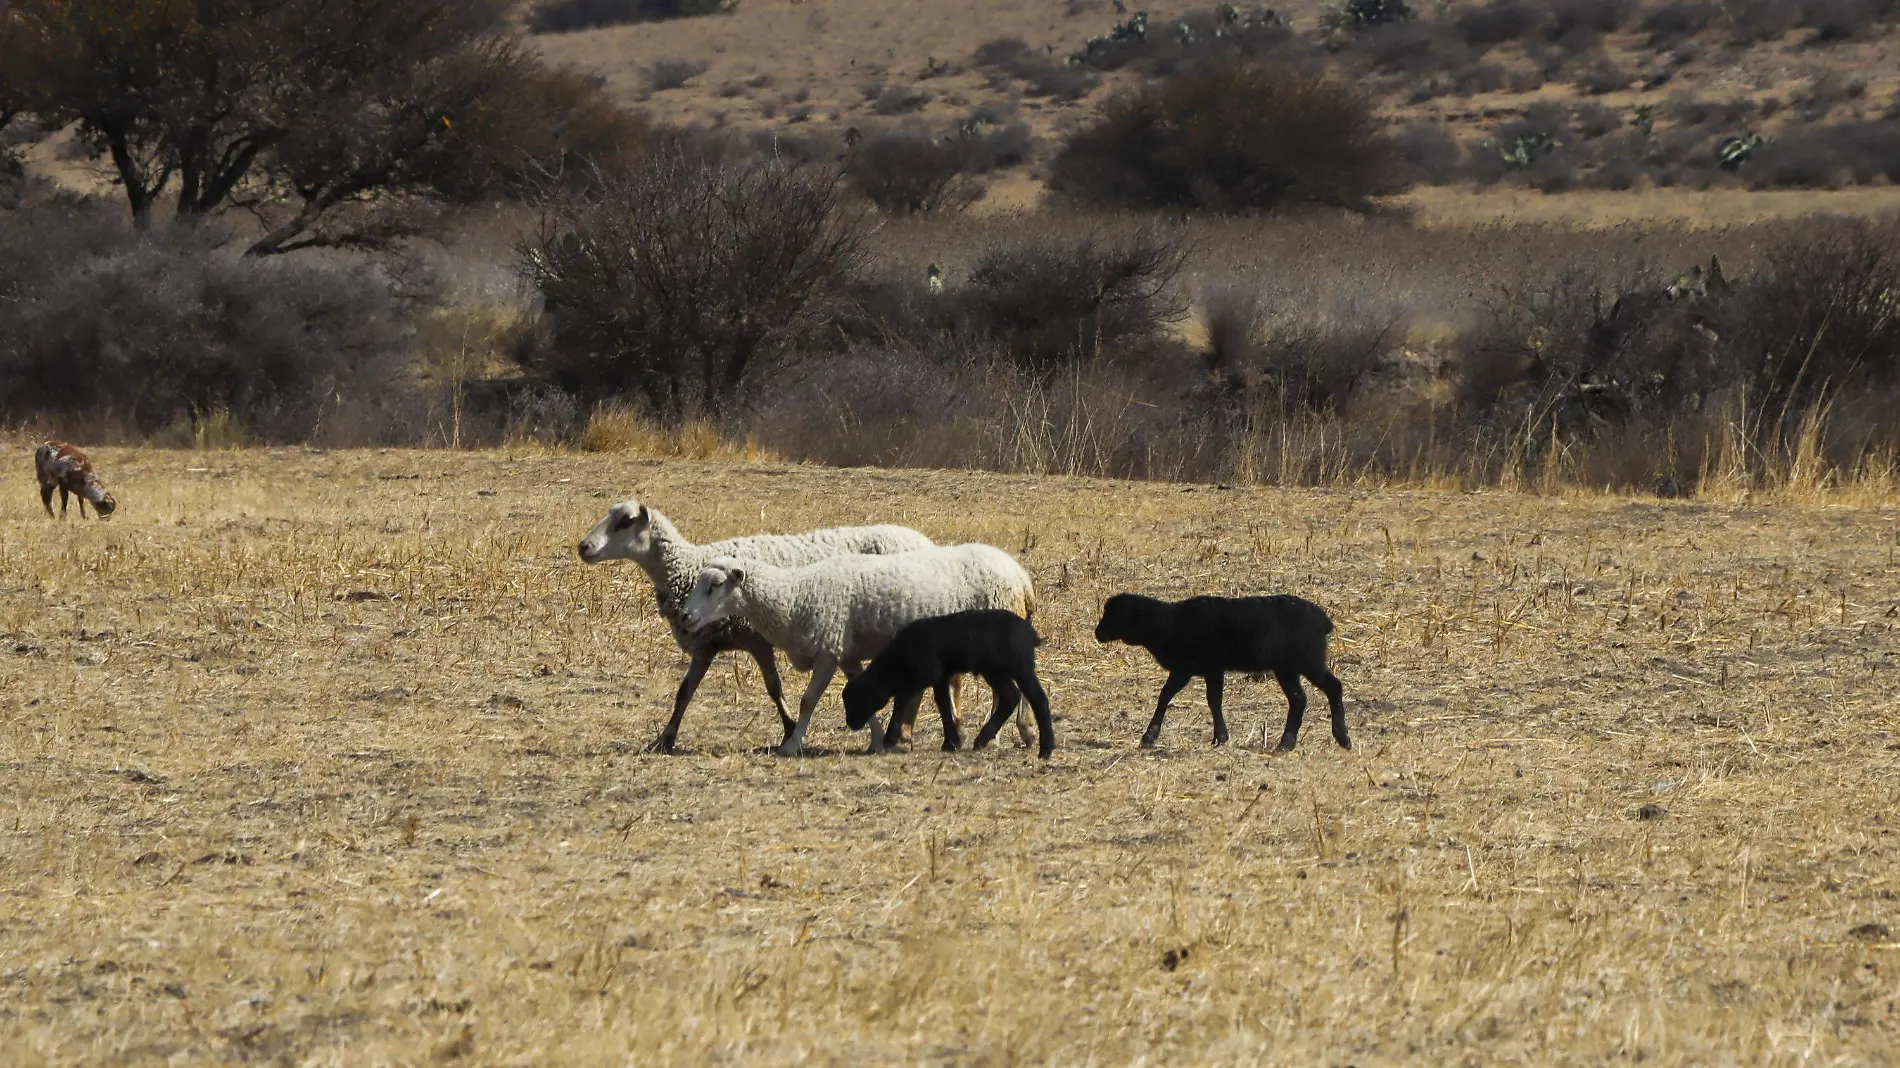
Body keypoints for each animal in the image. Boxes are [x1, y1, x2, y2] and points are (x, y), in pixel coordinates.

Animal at [577, 497, 934, 748]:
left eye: (624, 522)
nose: (583, 547)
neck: (687, 566)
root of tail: (925, 541)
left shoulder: (756, 639)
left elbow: (774, 688)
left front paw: (790, 729)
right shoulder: (706, 644)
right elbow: (684, 692)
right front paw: (665, 738)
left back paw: (899, 732)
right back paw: (901, 732)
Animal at [843, 608, 1056, 756]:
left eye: (857, 700)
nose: (851, 724)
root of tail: (1031, 633)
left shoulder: (925, 674)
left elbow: (902, 701)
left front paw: (889, 739)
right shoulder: (941, 676)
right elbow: (943, 704)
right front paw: (950, 742)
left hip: (1017, 667)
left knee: (1036, 698)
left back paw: (1046, 748)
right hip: (997, 671)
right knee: (1011, 696)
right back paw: (983, 739)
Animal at [1094, 589, 1345, 748]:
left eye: (1116, 614)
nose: (1098, 634)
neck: (1169, 623)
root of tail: (1324, 621)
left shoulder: (1193, 668)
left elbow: (1181, 697)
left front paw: (1149, 737)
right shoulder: (1201, 669)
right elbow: (1204, 699)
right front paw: (1220, 737)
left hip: (1308, 661)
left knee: (1333, 688)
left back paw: (1342, 737)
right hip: (1288, 668)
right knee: (1299, 699)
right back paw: (1287, 743)